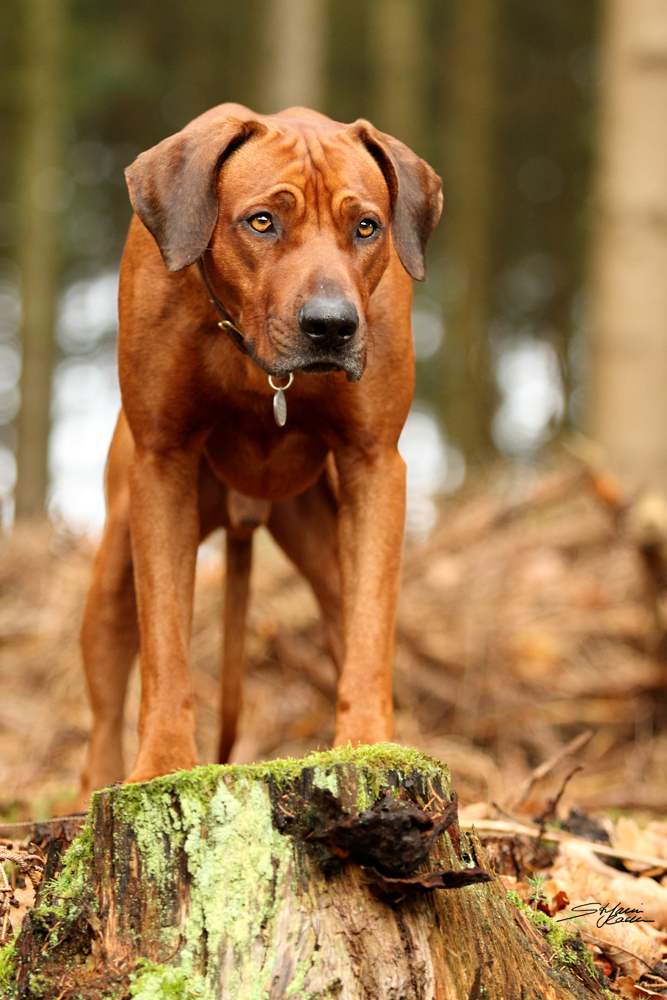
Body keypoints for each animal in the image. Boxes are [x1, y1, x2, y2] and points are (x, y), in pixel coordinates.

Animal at [78, 105, 444, 800]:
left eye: (366, 227)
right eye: (262, 222)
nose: (331, 326)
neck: (258, 364)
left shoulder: (375, 462)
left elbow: (371, 632)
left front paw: (366, 746)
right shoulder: (161, 463)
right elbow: (165, 644)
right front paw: (164, 761)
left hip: (321, 538)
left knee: (345, 621)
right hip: (116, 557)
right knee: (105, 706)